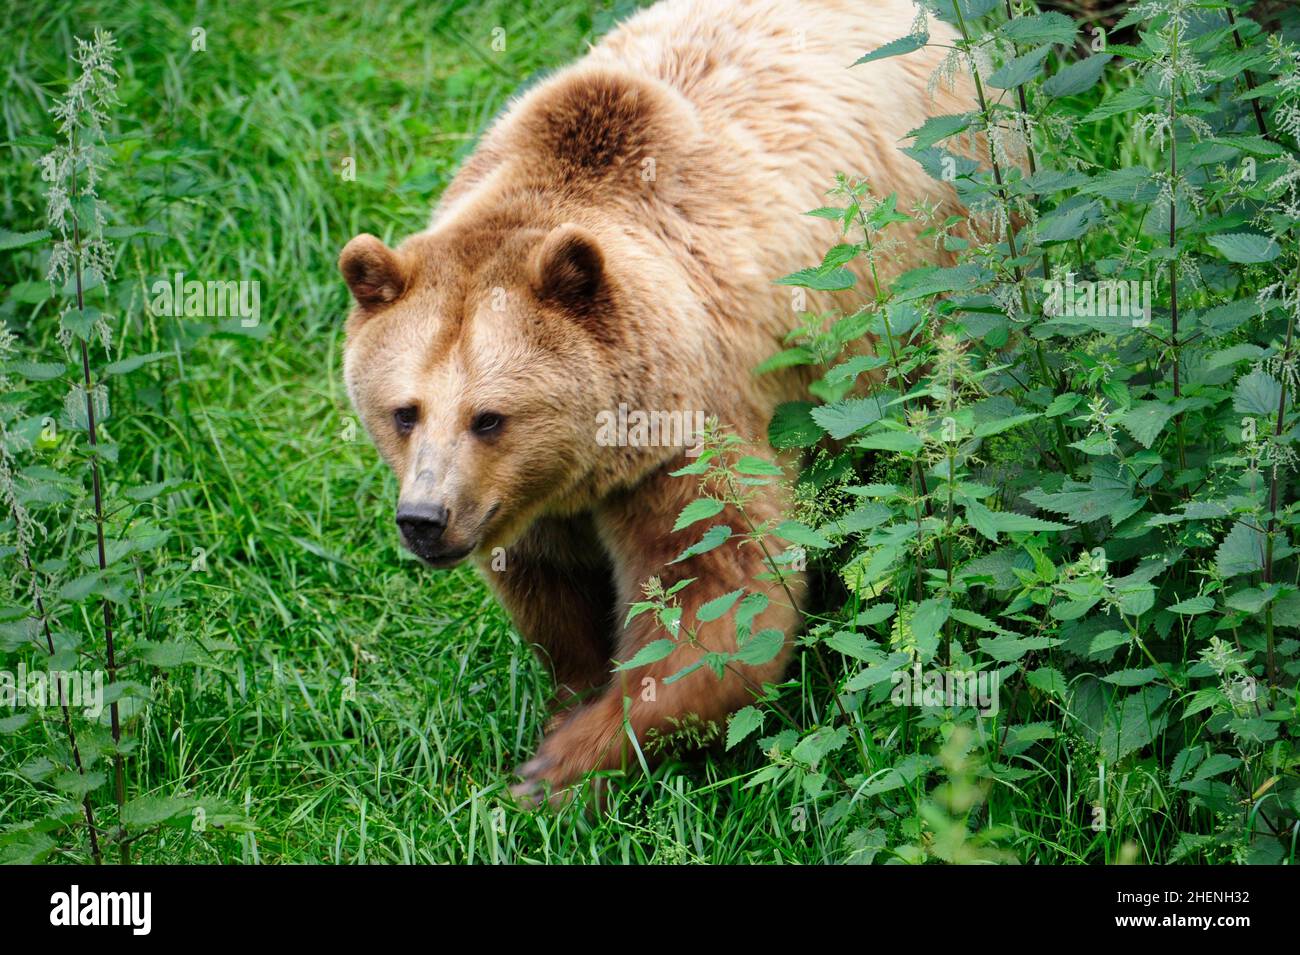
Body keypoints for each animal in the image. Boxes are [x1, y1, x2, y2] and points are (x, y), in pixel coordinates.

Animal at [339, 0, 974, 806]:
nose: (424, 519)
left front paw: (554, 768)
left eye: (490, 416)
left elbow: (721, 598)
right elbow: (554, 595)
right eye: (404, 410)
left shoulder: (685, 435)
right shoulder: (529, 505)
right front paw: (569, 701)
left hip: (937, 262)